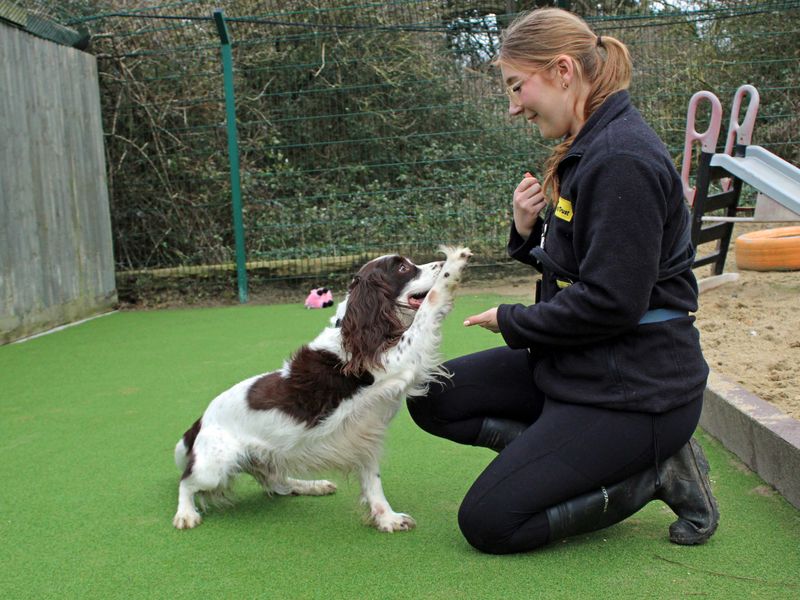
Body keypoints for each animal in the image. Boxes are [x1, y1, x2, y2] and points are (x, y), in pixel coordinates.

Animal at [170, 244, 468, 528]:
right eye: (404, 268)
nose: (439, 263)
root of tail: (200, 421)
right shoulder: (396, 362)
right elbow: (429, 307)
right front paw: (453, 266)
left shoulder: (364, 431)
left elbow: (373, 481)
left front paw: (387, 519)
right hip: (215, 467)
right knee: (186, 482)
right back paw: (185, 514)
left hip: (264, 459)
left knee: (277, 484)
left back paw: (312, 486)